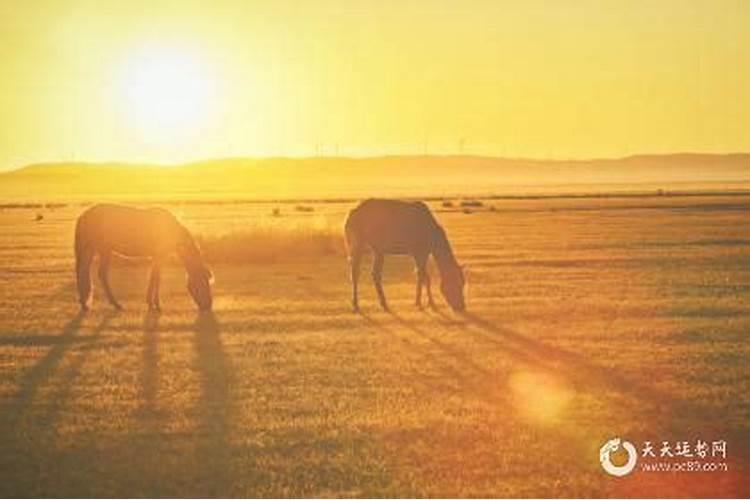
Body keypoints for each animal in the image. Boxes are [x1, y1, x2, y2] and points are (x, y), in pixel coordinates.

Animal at [75, 202, 214, 310]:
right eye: (203, 283)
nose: (208, 305)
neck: (170, 230)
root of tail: (83, 216)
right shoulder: (159, 257)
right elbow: (157, 279)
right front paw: (156, 305)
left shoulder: (156, 258)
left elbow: (154, 277)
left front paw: (150, 302)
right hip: (100, 249)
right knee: (97, 274)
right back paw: (114, 304)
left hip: (95, 249)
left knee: (86, 272)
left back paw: (86, 303)